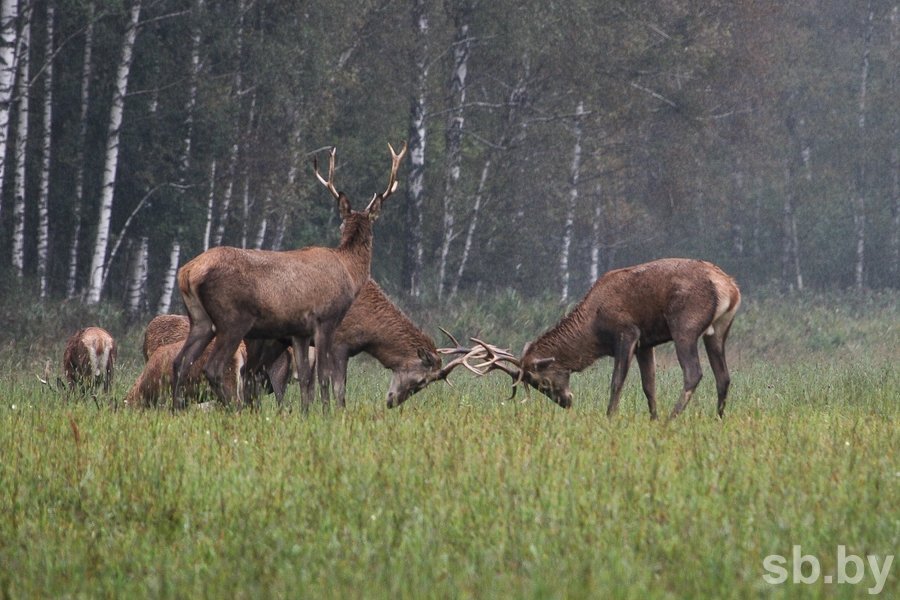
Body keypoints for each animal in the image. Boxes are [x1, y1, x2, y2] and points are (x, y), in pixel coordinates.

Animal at [171, 143, 408, 410]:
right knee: (214, 368)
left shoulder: (300, 330)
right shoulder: (325, 319)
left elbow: (304, 376)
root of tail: (188, 272)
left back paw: (176, 409)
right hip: (232, 318)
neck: (349, 271)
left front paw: (307, 412)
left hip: (200, 319)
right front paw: (327, 412)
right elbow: (324, 375)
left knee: (180, 362)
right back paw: (234, 409)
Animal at [474, 260, 740, 420]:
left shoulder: (627, 332)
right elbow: (649, 386)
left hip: (684, 325)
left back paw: (671, 418)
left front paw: (610, 417)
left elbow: (616, 381)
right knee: (723, 377)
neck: (594, 328)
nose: (565, 402)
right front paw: (652, 419)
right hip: (719, 331)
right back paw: (718, 418)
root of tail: (730, 289)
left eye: (542, 382)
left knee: (694, 372)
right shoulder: (646, 344)